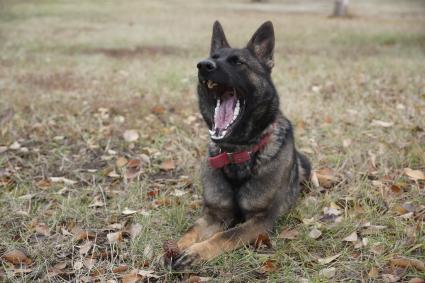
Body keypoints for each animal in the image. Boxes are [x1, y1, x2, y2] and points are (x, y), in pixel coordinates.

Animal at [171, 20, 310, 270]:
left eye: (237, 62)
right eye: (213, 57)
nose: (203, 65)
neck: (236, 152)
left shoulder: (260, 221)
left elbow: (226, 236)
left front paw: (196, 252)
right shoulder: (215, 215)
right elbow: (191, 230)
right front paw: (177, 247)